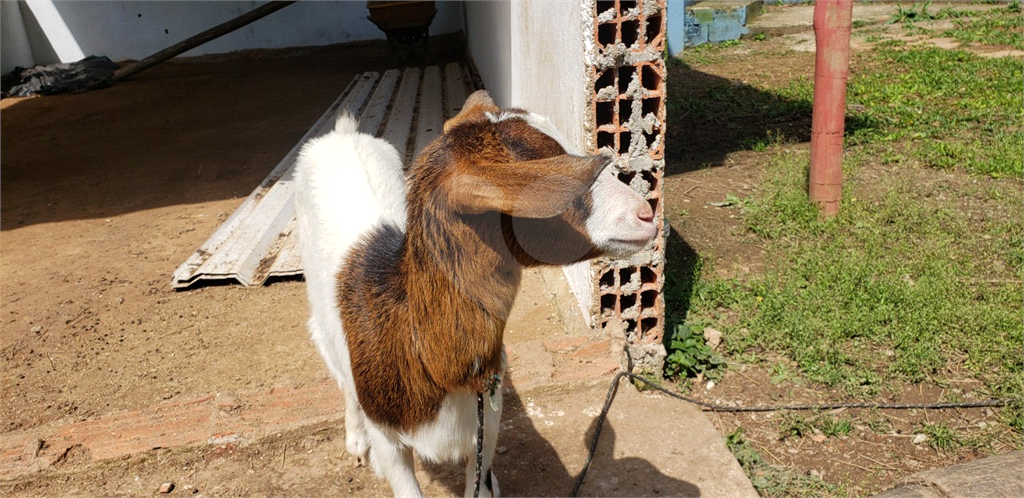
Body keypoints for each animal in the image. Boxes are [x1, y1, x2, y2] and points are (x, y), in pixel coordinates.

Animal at [294, 91, 655, 495]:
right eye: (543, 183)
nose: (646, 213)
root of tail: (343, 134)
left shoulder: (487, 425)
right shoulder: (390, 442)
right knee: (337, 369)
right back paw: (356, 441)